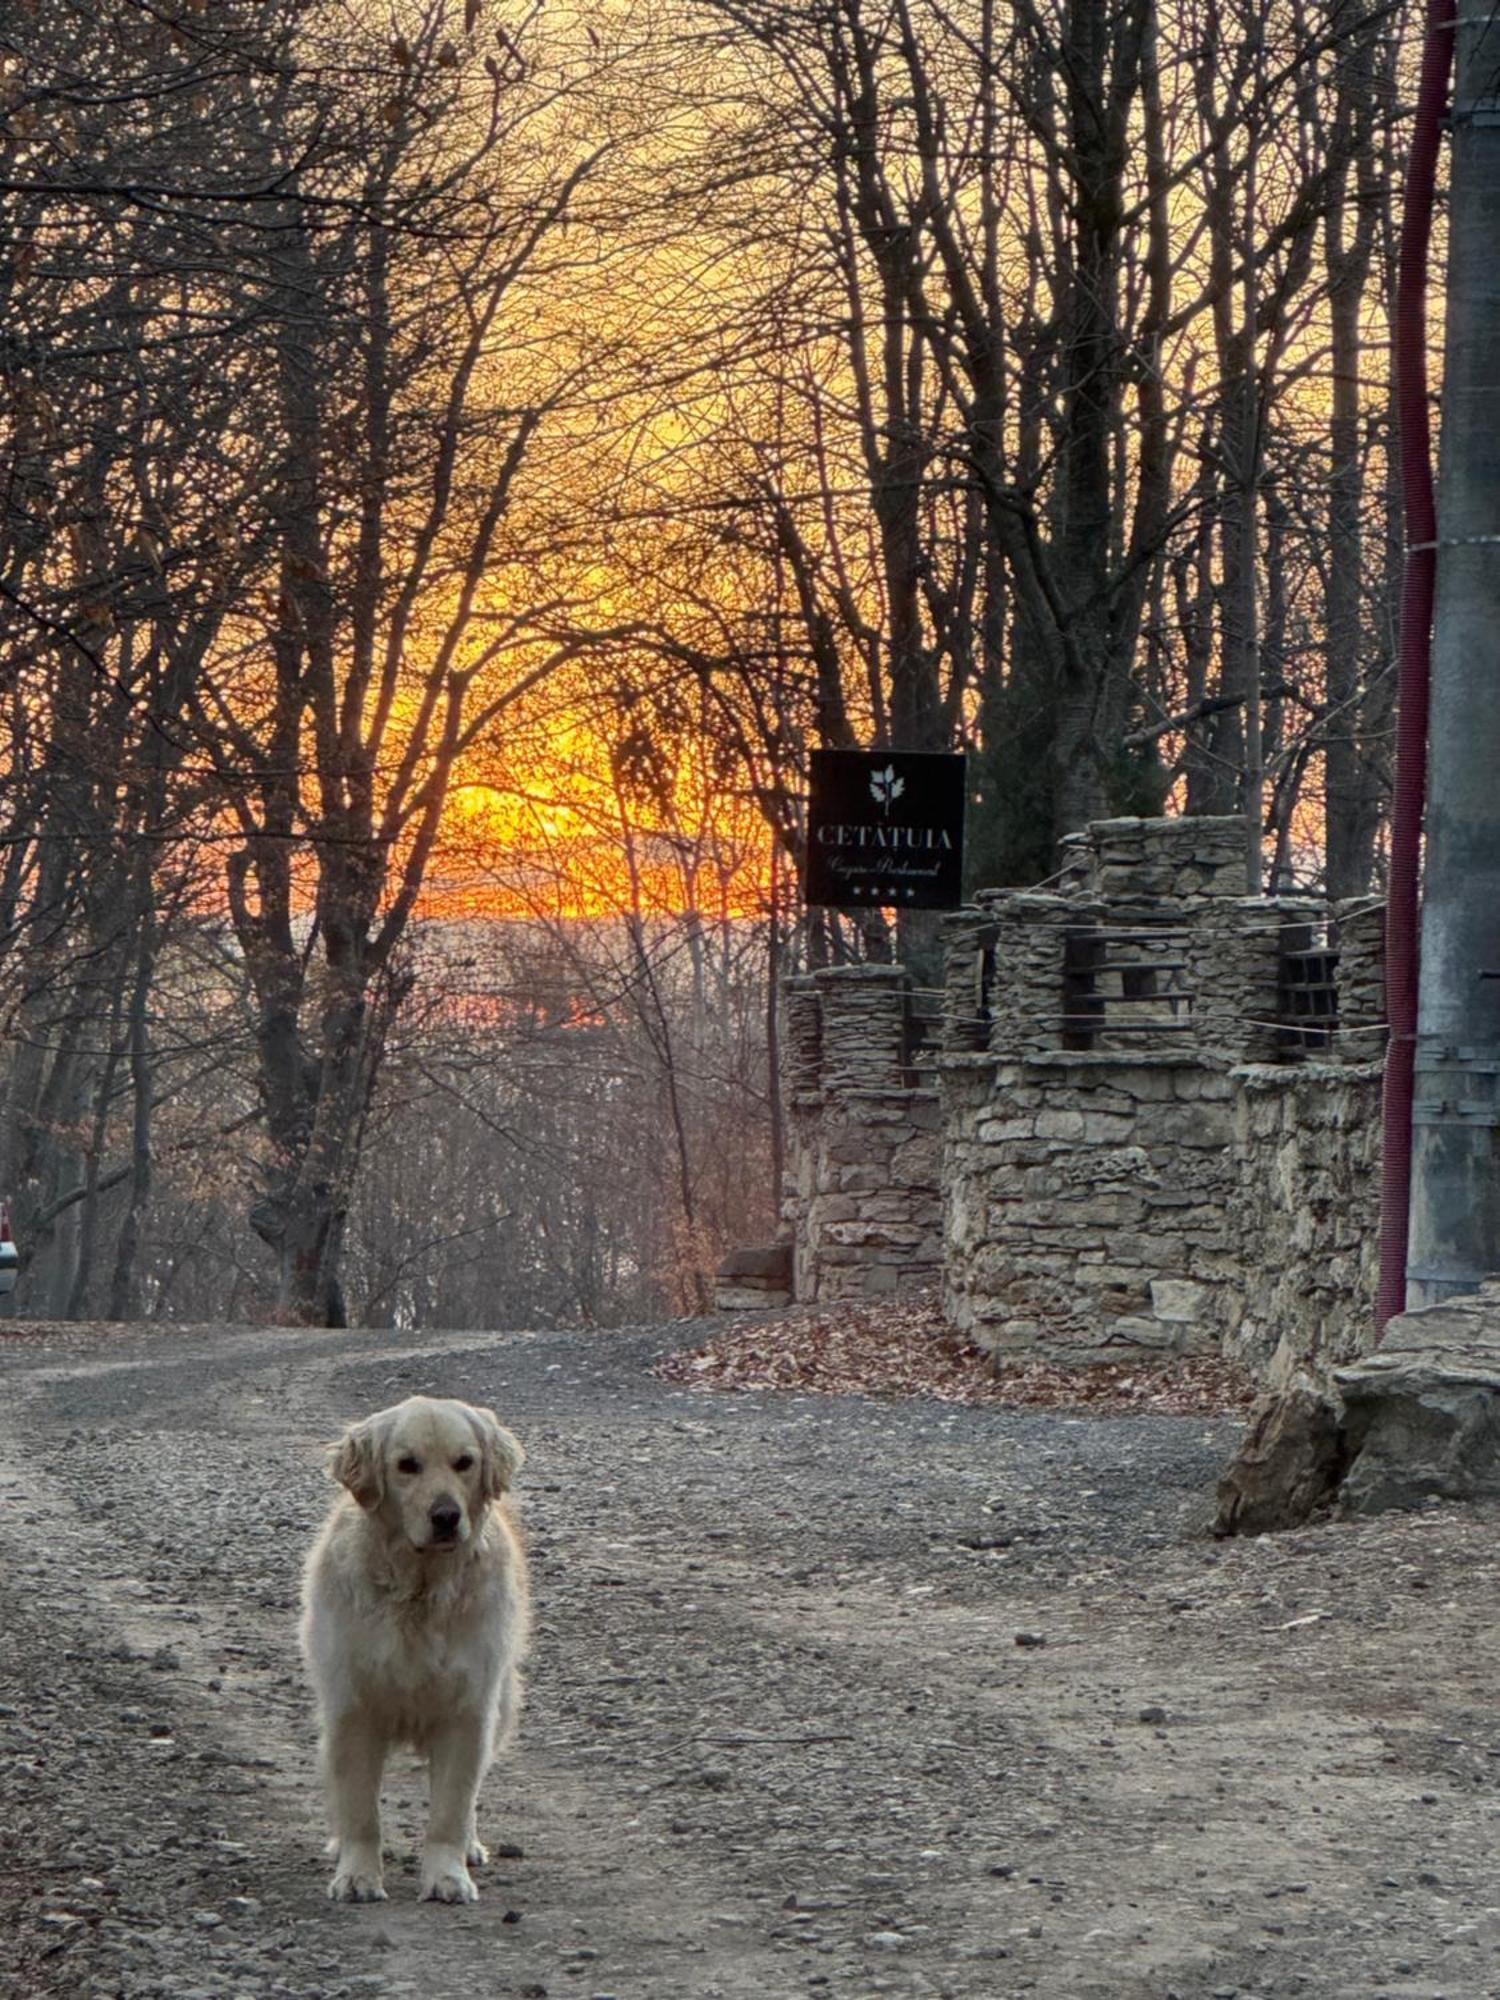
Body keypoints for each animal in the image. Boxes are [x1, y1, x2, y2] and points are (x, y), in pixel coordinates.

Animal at [296, 1392, 532, 1904]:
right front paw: (357, 1875)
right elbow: (361, 1810)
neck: (420, 1589)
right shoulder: (353, 1708)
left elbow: (450, 1809)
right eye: (407, 1466)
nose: (446, 1517)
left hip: (502, 1704)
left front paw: (447, 1876)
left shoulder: (469, 1710)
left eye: (465, 1462)